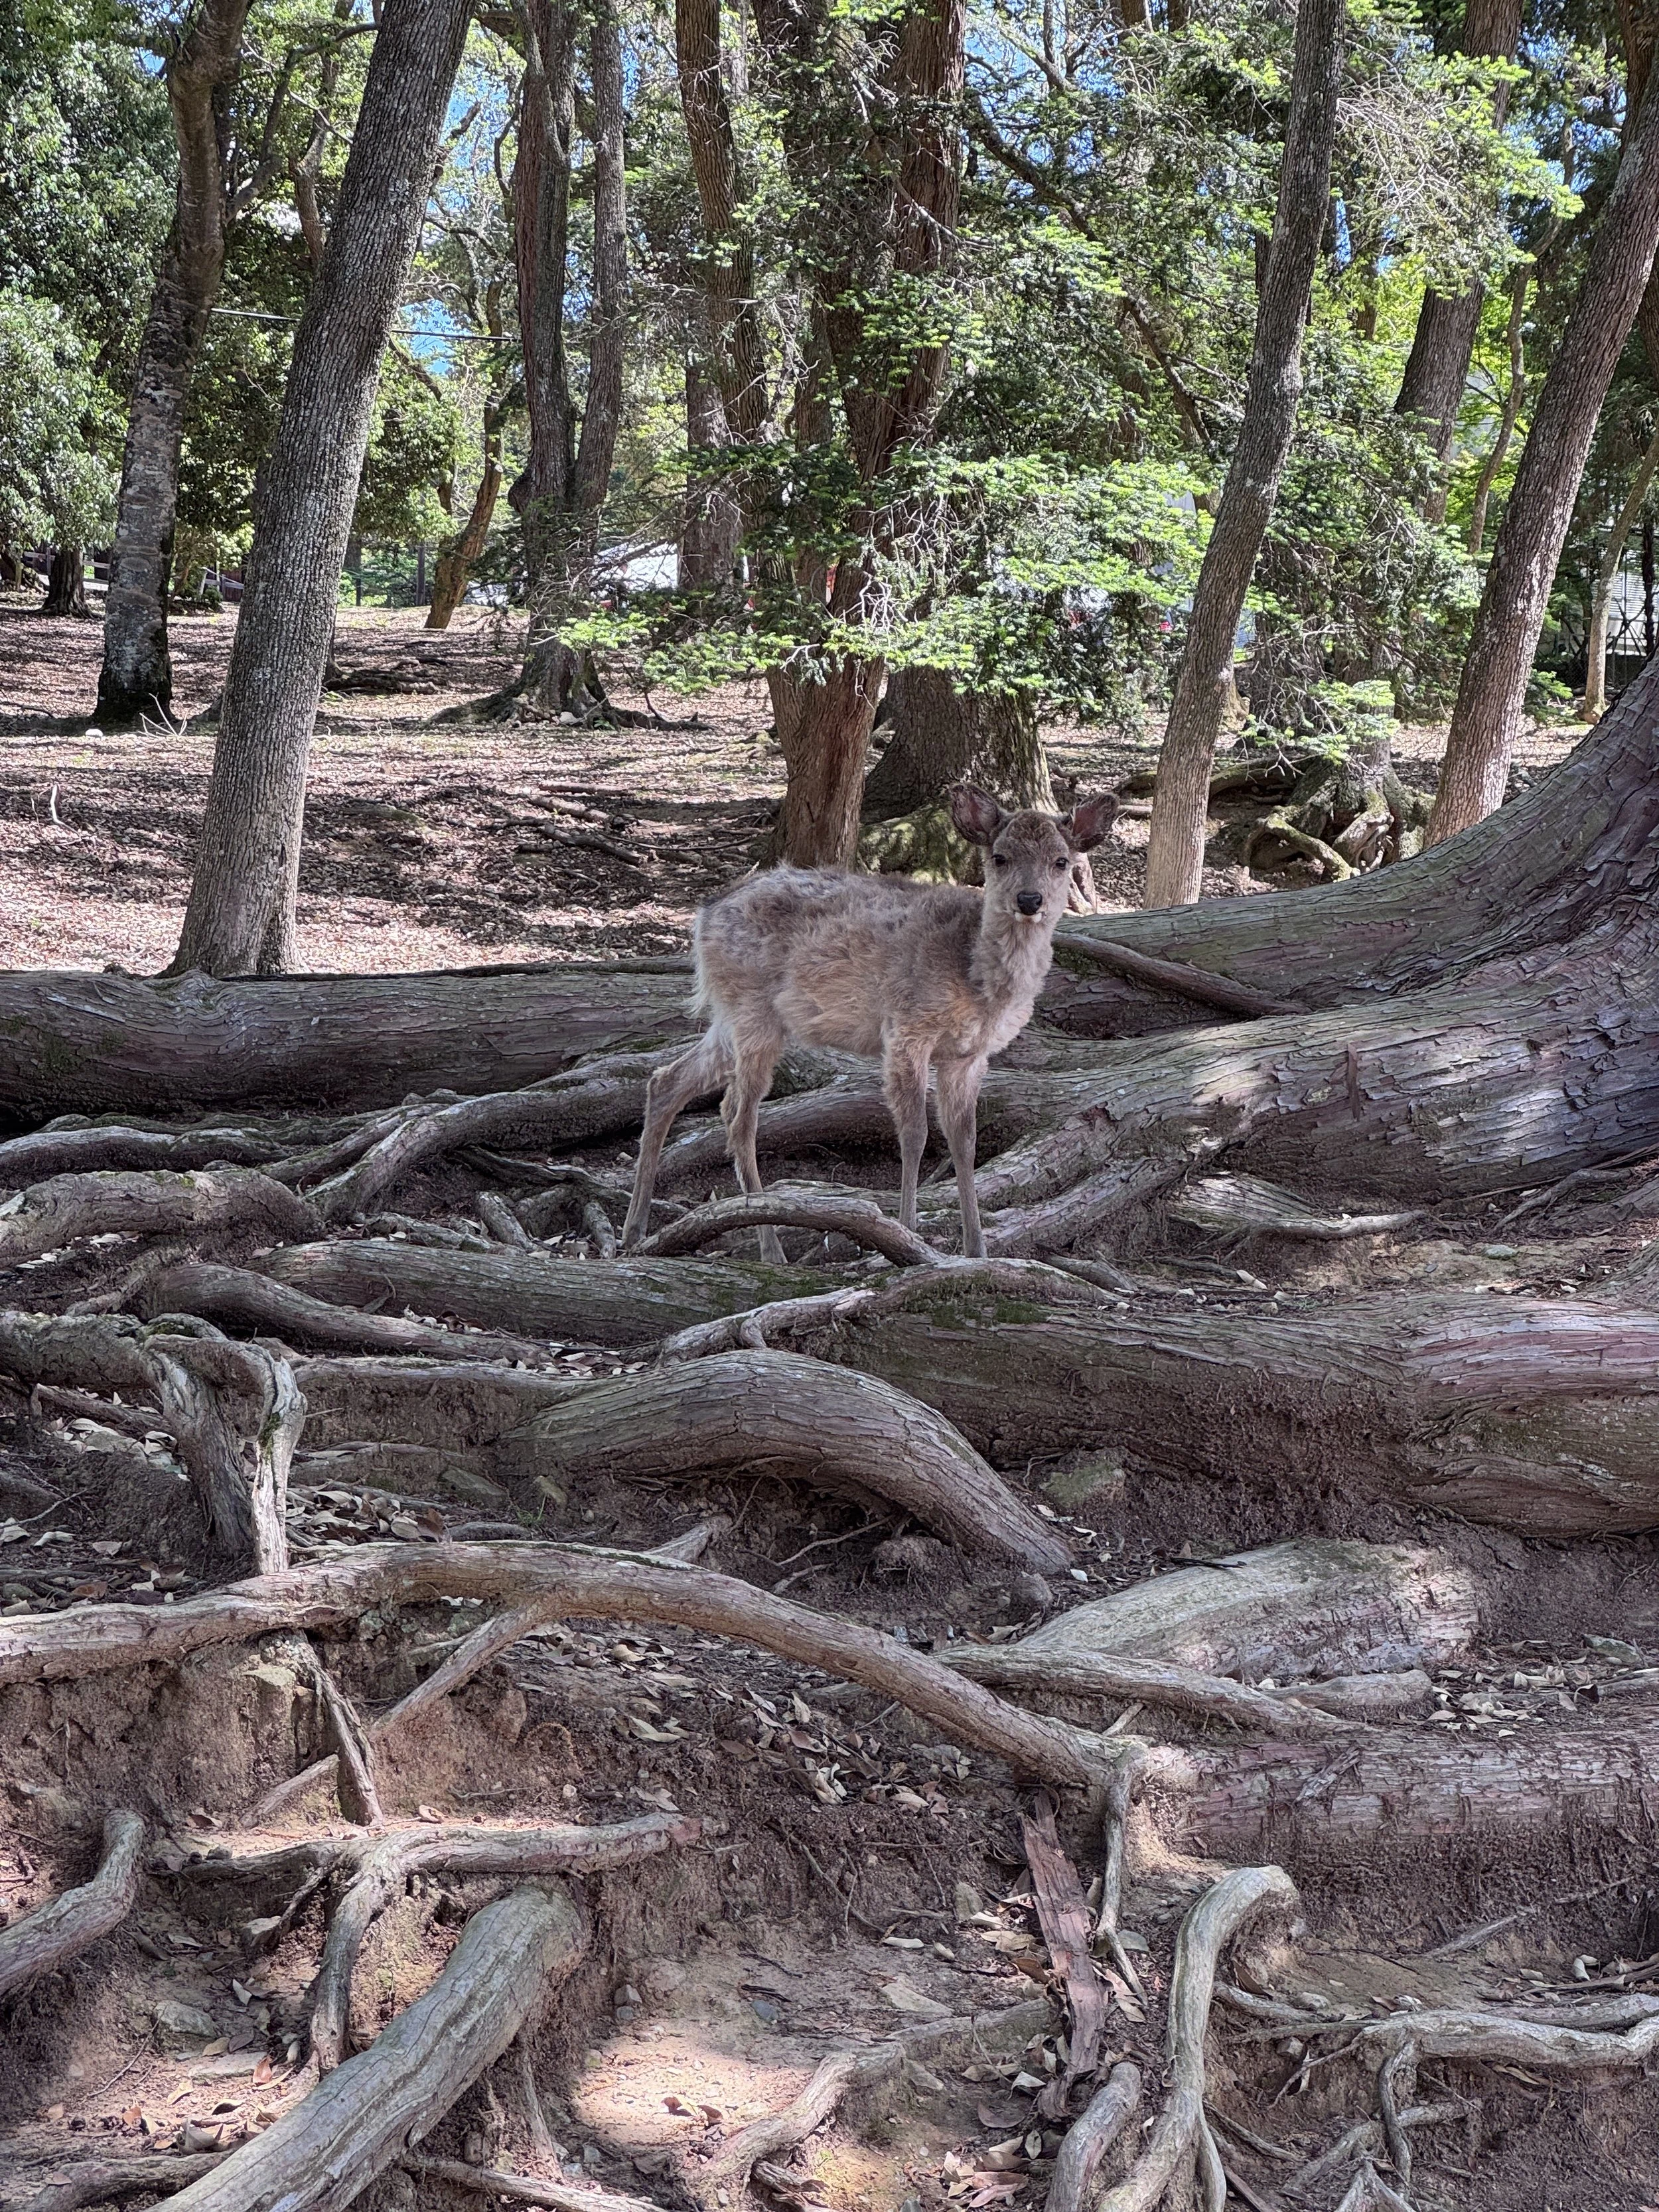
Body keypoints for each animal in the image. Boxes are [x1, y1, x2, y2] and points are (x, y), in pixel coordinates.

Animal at [621, 783, 1118, 1263]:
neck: (977, 981)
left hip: (731, 1014)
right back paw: (769, 1246)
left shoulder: (969, 1055)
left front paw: (977, 1249)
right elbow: (915, 1134)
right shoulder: (906, 1028)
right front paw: (907, 1237)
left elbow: (965, 1141)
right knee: (737, 1115)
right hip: (752, 1011)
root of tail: (703, 914)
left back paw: (635, 1228)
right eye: (1000, 856)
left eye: (1061, 861)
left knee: (667, 1081)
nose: (1029, 899)